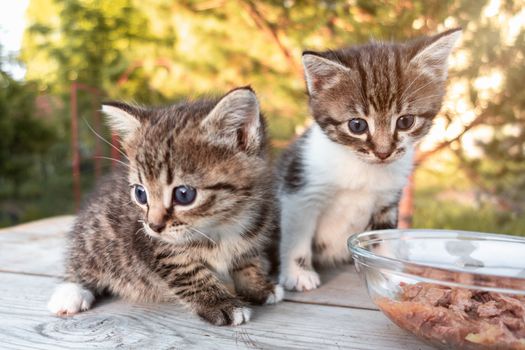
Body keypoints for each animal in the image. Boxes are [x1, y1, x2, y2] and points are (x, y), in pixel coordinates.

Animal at [47, 87, 282, 326]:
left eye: (184, 194)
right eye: (140, 193)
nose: (154, 226)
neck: (223, 224)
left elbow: (247, 260)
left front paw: (258, 286)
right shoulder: (151, 244)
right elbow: (187, 272)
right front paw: (219, 303)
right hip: (96, 235)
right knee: (82, 261)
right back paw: (71, 292)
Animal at [276, 27, 460, 292]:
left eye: (406, 121)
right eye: (357, 125)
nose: (383, 152)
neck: (362, 170)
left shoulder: (387, 201)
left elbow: (383, 239)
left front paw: (389, 275)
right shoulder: (300, 189)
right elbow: (296, 236)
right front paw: (298, 273)